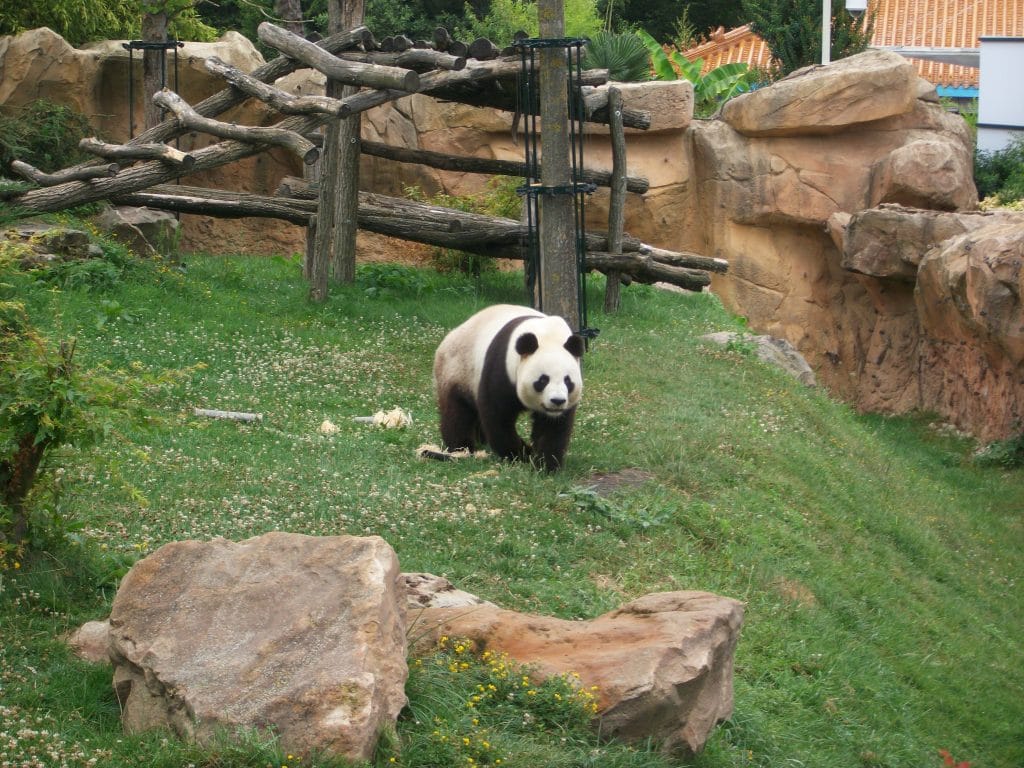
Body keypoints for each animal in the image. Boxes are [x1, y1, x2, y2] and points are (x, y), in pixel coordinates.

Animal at [433, 304, 585, 471]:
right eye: (543, 380)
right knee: (457, 411)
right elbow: (497, 415)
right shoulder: (502, 367)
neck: (548, 335)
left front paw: (546, 465)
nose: (557, 401)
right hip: (458, 369)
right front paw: (518, 455)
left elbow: (553, 427)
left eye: (568, 381)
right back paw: (461, 448)